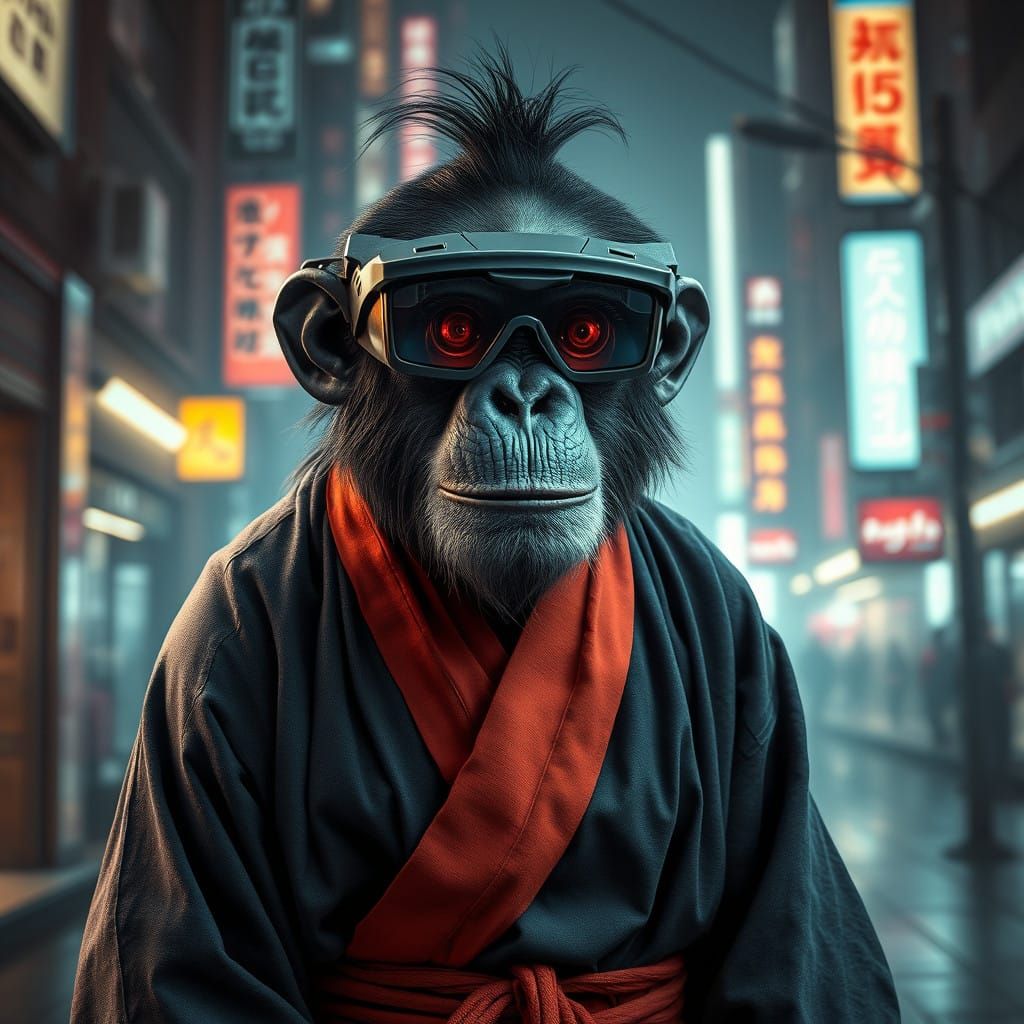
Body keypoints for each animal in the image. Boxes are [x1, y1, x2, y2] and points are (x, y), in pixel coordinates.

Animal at [72, 48, 899, 1024]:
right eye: (454, 327)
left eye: (588, 330)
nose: (524, 394)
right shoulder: (213, 639)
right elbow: (199, 955)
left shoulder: (733, 620)